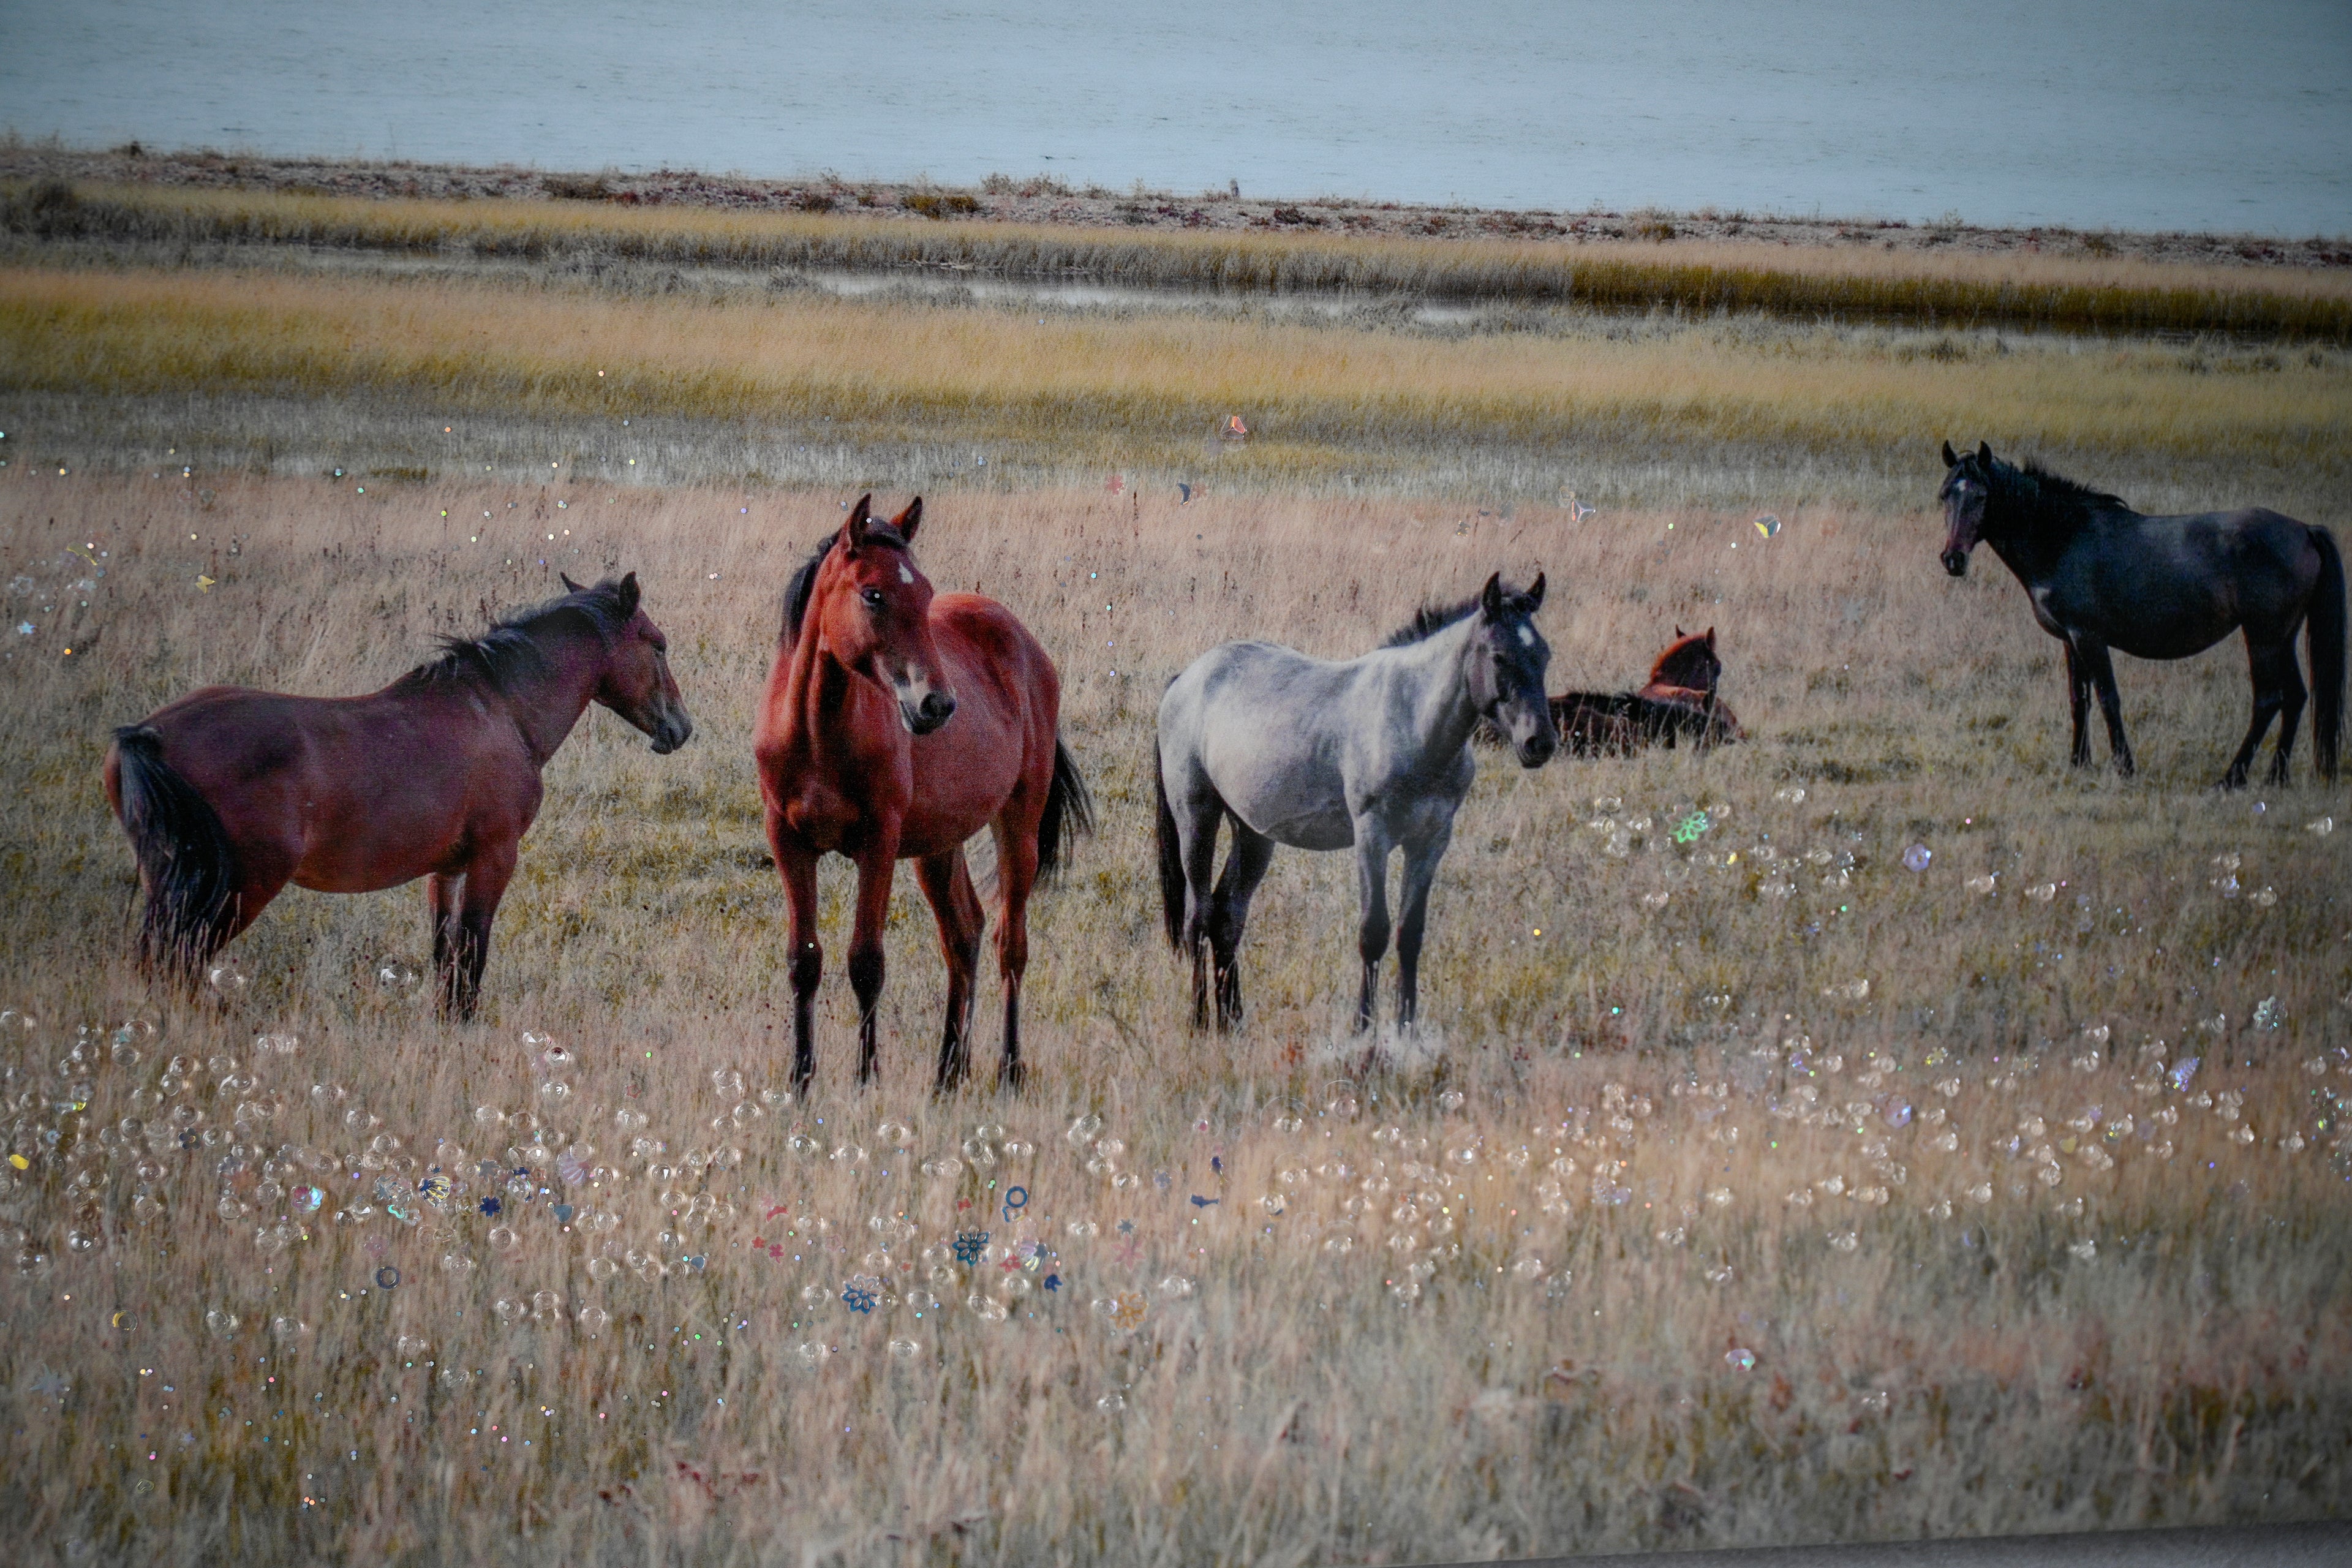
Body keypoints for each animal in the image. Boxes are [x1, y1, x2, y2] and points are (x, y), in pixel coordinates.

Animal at [104, 572, 692, 1015]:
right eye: (659, 645)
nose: (682, 728)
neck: (502, 711)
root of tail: (147, 734)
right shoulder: (494, 857)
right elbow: (472, 954)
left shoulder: (447, 870)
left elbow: (445, 956)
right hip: (236, 890)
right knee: (176, 966)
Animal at [754, 496, 1092, 1095]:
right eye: (873, 594)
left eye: (927, 592)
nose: (937, 704)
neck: (817, 732)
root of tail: (1024, 641)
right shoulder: (788, 841)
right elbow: (804, 961)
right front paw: (800, 1080)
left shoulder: (879, 843)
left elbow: (866, 962)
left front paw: (866, 1078)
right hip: (938, 846)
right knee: (964, 934)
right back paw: (947, 1073)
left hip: (1018, 826)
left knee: (1010, 945)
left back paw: (1008, 1070)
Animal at [1155, 572, 1558, 1035]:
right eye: (1499, 657)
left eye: (1545, 655)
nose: (1540, 743)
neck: (1412, 722)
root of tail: (1186, 678)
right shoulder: (1372, 836)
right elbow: (1374, 933)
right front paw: (1363, 1033)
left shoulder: (1431, 841)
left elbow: (1410, 935)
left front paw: (1406, 1033)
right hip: (1197, 818)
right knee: (1199, 918)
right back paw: (1200, 1020)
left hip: (1254, 834)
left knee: (1228, 917)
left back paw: (1233, 1022)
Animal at [1939, 441, 2344, 788]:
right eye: (1945, 495)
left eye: (1981, 496)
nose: (1953, 559)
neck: (2064, 539)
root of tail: (2304, 530)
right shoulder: (2070, 640)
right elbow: (2079, 700)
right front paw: (2079, 763)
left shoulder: (2089, 637)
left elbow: (2108, 698)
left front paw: (2124, 766)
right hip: (2283, 636)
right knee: (2296, 697)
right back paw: (2276, 777)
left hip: (2263, 637)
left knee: (2268, 700)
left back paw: (2232, 778)